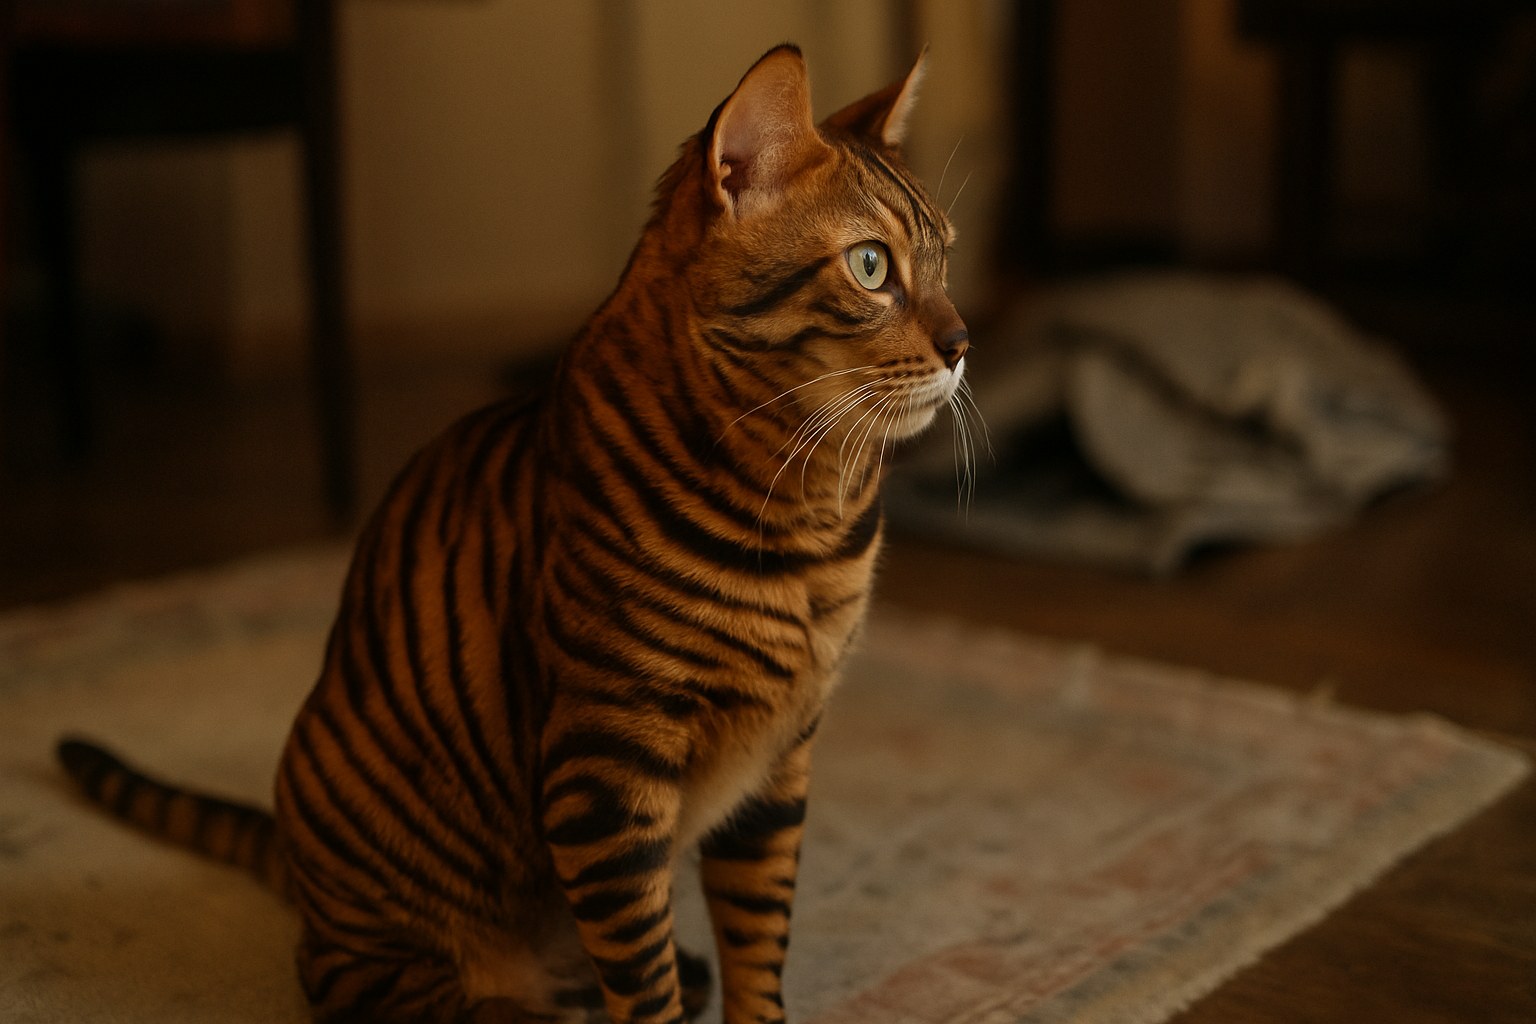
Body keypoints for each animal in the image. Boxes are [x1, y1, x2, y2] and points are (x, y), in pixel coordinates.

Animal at [56, 43, 971, 1024]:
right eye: (871, 266)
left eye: (947, 261)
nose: (965, 342)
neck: (810, 517)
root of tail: (300, 877)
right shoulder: (604, 767)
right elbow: (642, 980)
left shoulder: (779, 768)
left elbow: (759, 944)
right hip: (375, 864)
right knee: (368, 984)